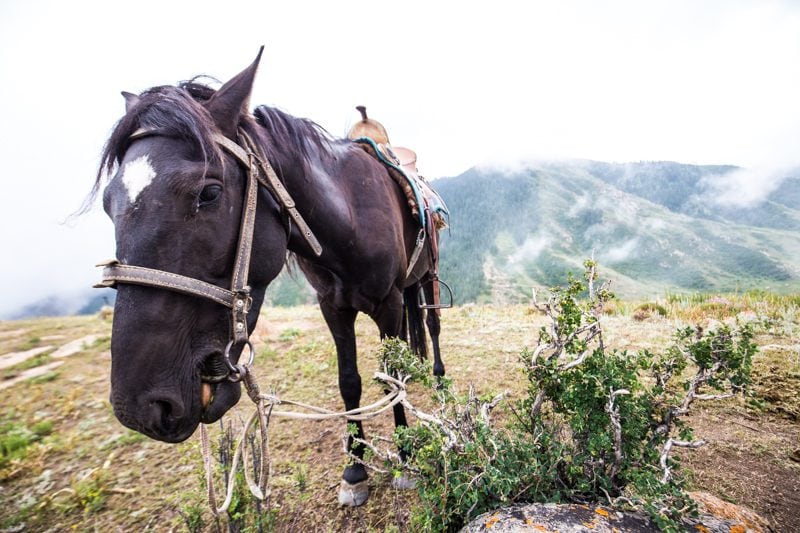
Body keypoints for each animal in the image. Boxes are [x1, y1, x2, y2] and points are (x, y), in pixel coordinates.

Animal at [94, 48, 446, 502]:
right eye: (108, 204)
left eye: (209, 192)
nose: (140, 407)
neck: (351, 216)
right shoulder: (334, 308)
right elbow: (349, 382)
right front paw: (355, 470)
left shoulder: (386, 304)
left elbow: (388, 380)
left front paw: (404, 457)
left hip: (427, 277)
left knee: (432, 325)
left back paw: (437, 376)